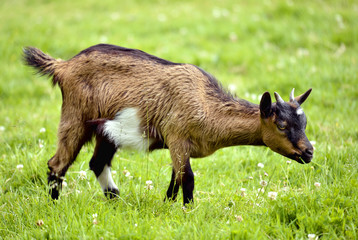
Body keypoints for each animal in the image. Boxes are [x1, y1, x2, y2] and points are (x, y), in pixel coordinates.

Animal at [23, 44, 314, 205]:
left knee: (97, 162)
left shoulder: (180, 146)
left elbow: (175, 180)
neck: (206, 104)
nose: (309, 152)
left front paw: (167, 206)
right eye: (282, 125)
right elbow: (188, 179)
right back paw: (55, 206)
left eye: (304, 122)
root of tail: (62, 66)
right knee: (57, 164)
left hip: (106, 130)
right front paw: (188, 212)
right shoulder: (177, 137)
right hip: (75, 117)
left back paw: (116, 200)